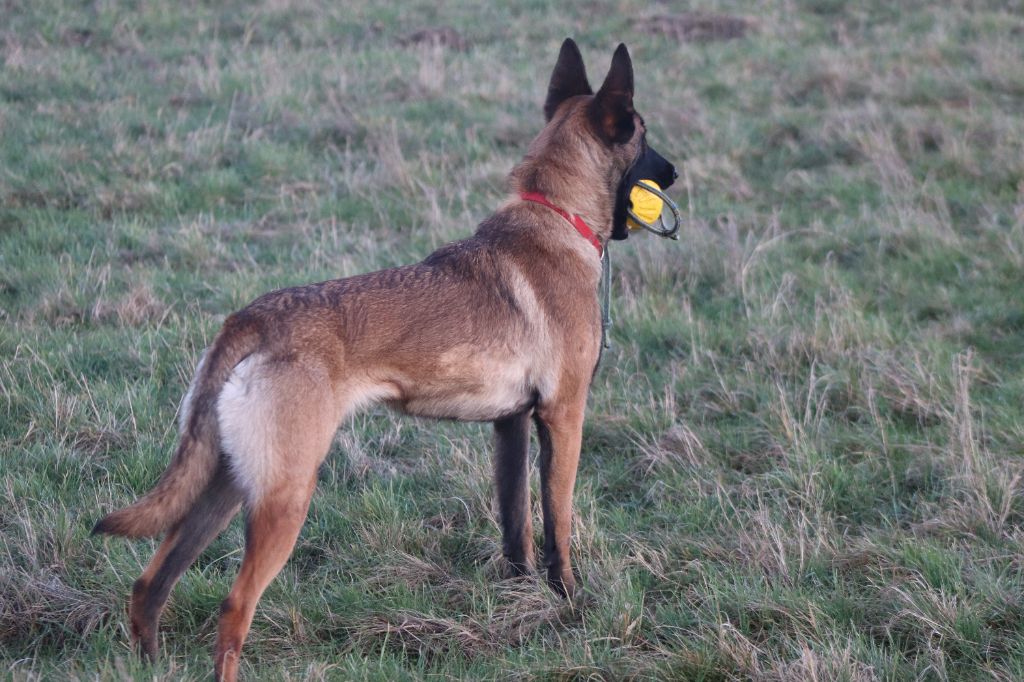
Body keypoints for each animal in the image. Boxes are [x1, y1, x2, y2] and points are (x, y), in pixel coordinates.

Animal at [92, 39, 675, 675]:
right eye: (643, 134)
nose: (675, 171)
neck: (556, 216)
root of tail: (253, 319)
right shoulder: (564, 416)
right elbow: (558, 522)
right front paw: (568, 599)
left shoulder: (511, 424)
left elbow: (516, 525)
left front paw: (522, 597)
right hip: (284, 498)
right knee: (233, 607)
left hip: (224, 486)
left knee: (150, 583)